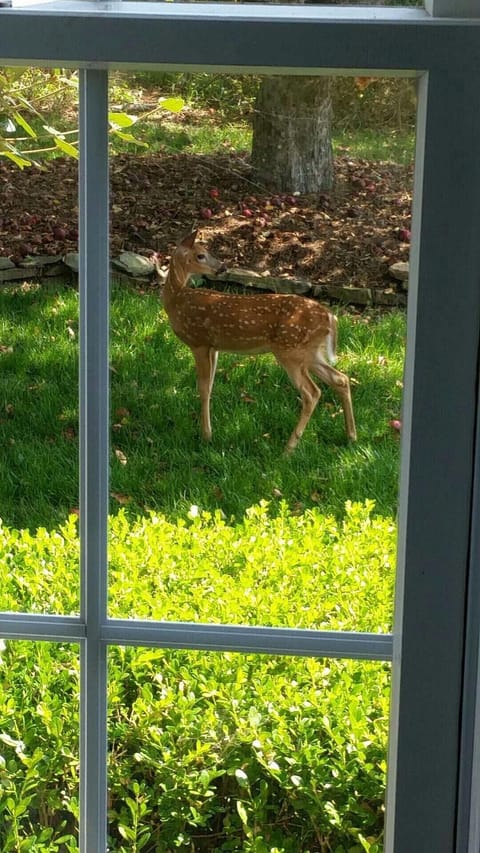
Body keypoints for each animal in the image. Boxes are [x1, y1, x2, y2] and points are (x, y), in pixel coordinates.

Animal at [155, 230, 357, 453]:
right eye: (201, 254)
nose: (222, 267)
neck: (176, 299)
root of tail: (330, 317)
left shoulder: (199, 342)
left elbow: (203, 388)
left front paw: (206, 436)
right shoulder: (214, 347)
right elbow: (211, 385)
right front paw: (208, 433)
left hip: (290, 350)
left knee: (312, 393)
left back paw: (288, 448)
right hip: (309, 352)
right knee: (340, 379)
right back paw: (351, 436)